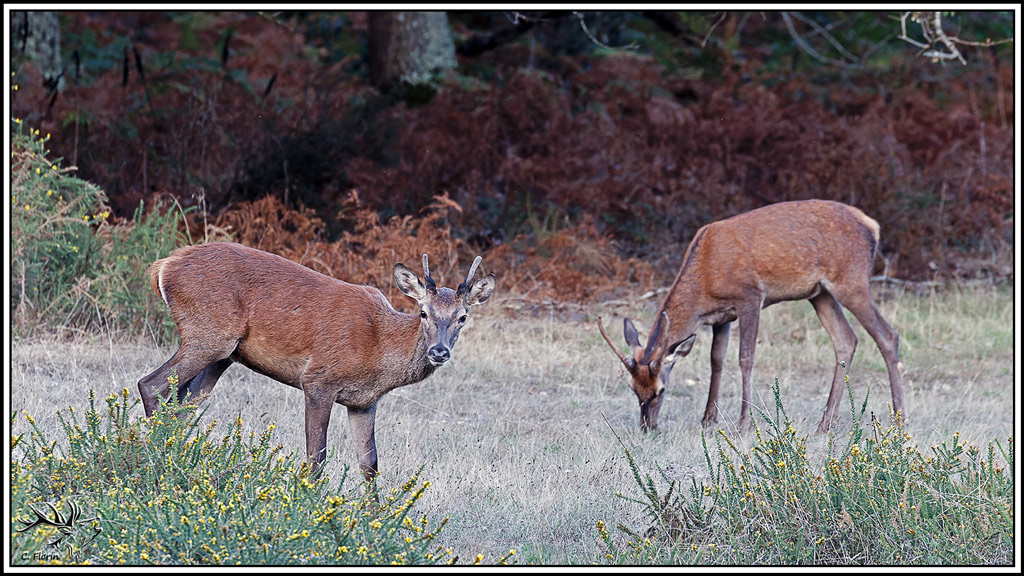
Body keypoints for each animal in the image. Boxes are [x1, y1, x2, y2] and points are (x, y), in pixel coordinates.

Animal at [138, 241, 496, 487]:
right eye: (423, 312)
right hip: (208, 334)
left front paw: (374, 522)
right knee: (151, 385)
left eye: (463, 317)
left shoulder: (363, 402)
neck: (379, 347)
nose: (439, 351)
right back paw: (159, 457)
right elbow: (316, 458)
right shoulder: (318, 379)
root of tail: (162, 266)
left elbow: (370, 463)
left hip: (224, 354)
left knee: (182, 405)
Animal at [598, 199, 905, 433]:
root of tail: (872, 225)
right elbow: (716, 361)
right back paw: (825, 424)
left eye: (661, 390)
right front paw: (708, 420)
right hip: (820, 293)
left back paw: (899, 420)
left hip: (851, 281)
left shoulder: (751, 297)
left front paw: (744, 422)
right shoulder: (722, 317)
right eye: (633, 389)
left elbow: (745, 358)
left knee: (888, 336)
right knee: (846, 339)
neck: (705, 282)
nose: (647, 426)